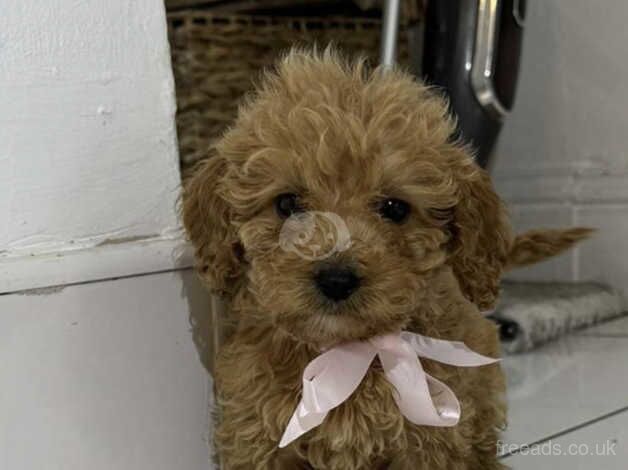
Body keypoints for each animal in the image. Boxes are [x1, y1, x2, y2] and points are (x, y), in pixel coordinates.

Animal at [180, 49, 588, 468]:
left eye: (395, 208)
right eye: (287, 204)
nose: (336, 280)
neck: (347, 353)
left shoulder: (430, 441)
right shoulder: (256, 435)